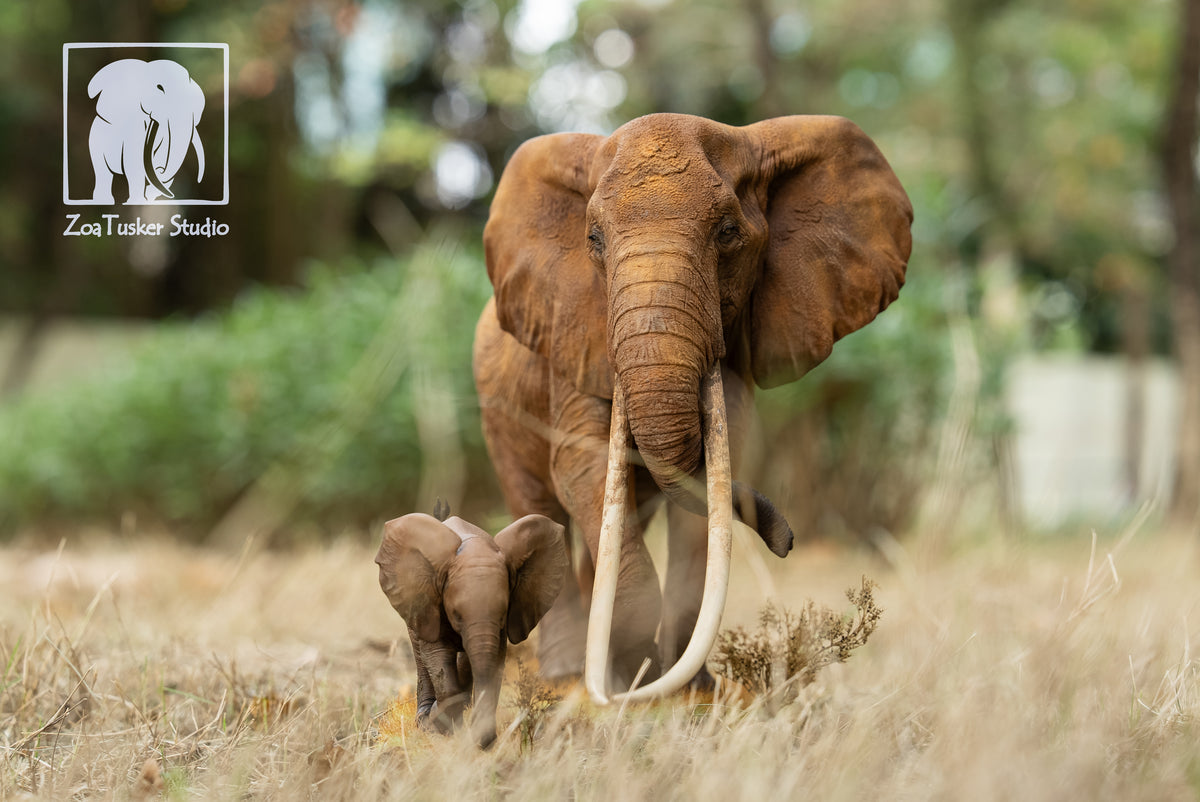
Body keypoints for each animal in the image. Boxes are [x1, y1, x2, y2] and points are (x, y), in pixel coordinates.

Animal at [375, 511, 567, 748]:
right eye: (456, 614)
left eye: (503, 614)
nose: (484, 741)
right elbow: (437, 654)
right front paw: (438, 726)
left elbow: (494, 661)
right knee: (421, 654)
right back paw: (425, 716)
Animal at [473, 113, 912, 701]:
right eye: (593, 239)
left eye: (727, 233)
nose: (787, 540)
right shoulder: (571, 334)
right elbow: (580, 462)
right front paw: (635, 676)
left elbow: (710, 477)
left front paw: (688, 690)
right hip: (498, 407)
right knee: (540, 505)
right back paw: (566, 674)